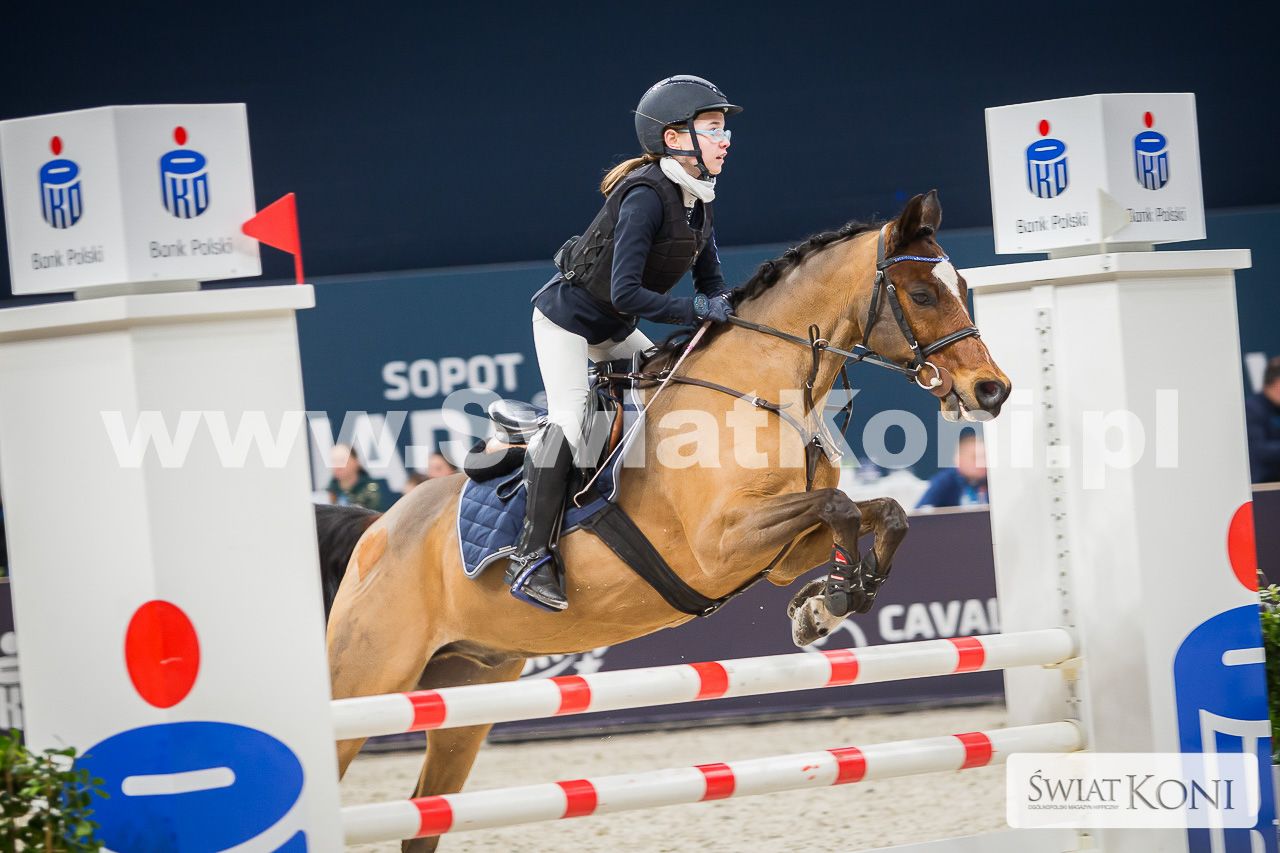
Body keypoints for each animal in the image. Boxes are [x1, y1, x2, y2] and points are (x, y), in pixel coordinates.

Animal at [322, 190, 1010, 851]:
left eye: (960, 283)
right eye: (921, 294)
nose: (992, 390)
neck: (758, 390)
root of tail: (378, 529)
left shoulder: (779, 553)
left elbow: (885, 513)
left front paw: (826, 603)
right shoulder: (722, 543)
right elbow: (839, 507)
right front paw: (831, 600)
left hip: (468, 689)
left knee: (425, 817)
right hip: (364, 682)